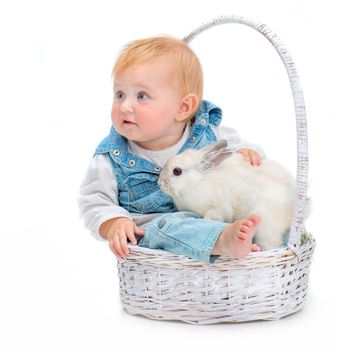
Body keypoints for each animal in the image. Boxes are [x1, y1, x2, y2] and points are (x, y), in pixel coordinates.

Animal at [158, 140, 296, 252]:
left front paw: (207, 220)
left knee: (271, 245)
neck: (198, 183)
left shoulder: (218, 208)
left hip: (265, 227)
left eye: (177, 171)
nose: (159, 183)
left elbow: (212, 216)